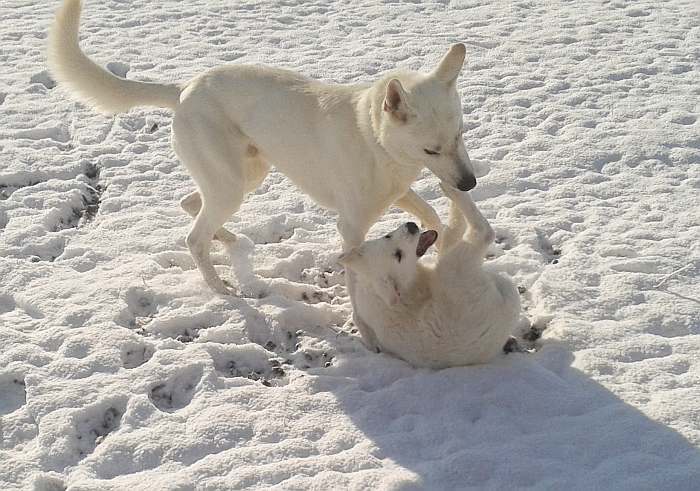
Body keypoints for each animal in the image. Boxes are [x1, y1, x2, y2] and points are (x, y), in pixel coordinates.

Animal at [47, 0, 476, 294]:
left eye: (459, 135)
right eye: (432, 150)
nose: (470, 184)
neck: (374, 139)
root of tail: (184, 89)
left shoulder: (401, 192)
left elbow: (432, 217)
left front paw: (442, 247)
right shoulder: (352, 225)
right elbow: (360, 262)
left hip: (246, 175)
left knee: (191, 204)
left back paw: (229, 240)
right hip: (231, 185)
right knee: (193, 236)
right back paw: (222, 289)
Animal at [340, 185, 520, 368]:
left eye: (387, 236)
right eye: (399, 255)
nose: (411, 226)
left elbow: (450, 233)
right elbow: (457, 234)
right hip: (454, 268)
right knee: (484, 232)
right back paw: (454, 194)